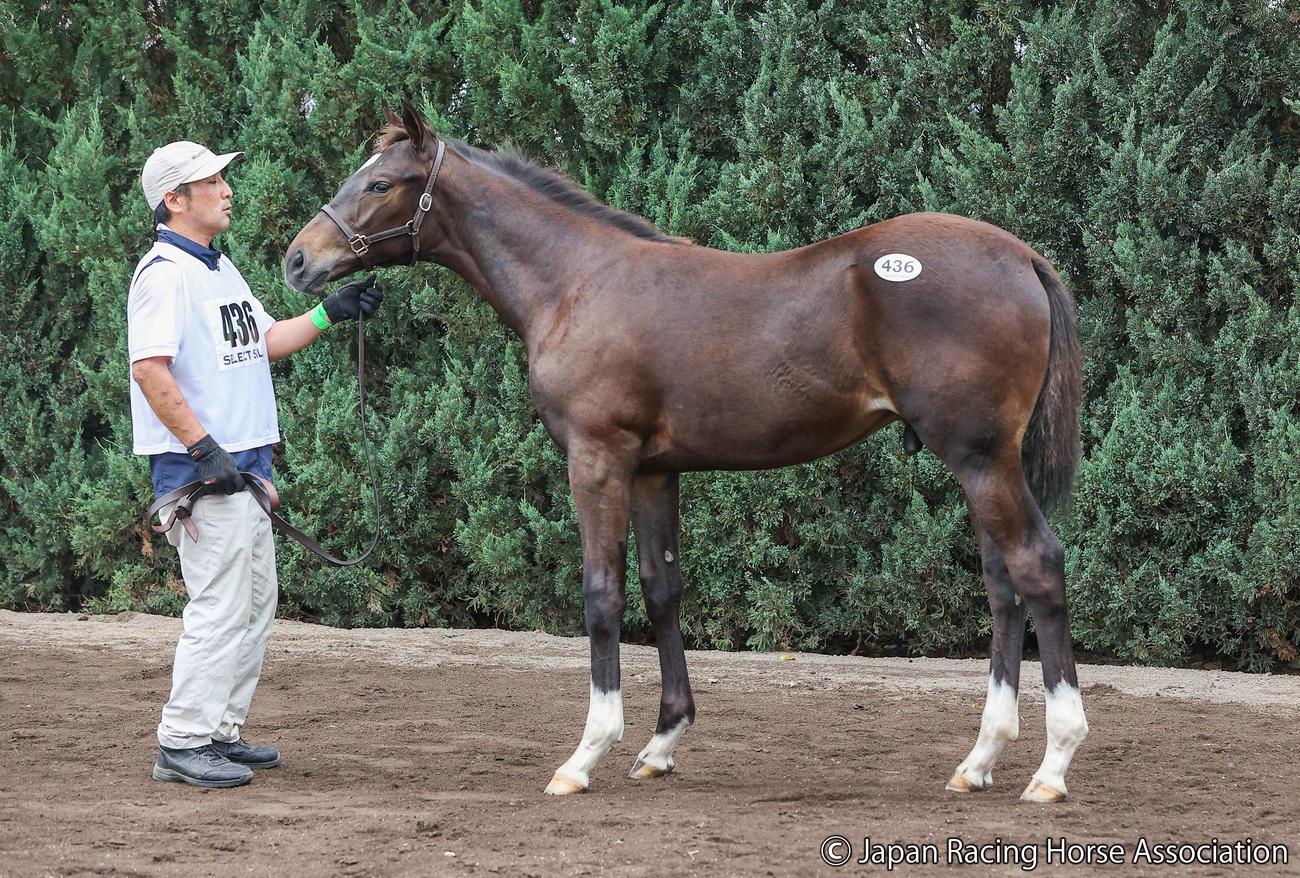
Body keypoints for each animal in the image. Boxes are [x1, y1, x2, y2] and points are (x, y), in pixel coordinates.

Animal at [284, 99, 1087, 803]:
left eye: (380, 183)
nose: (297, 261)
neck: (575, 284)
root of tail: (1022, 256)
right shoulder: (654, 471)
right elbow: (661, 589)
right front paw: (661, 744)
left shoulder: (598, 460)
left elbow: (602, 593)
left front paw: (585, 754)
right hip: (983, 464)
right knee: (1002, 583)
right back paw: (979, 761)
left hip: (981, 458)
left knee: (1036, 566)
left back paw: (1052, 767)